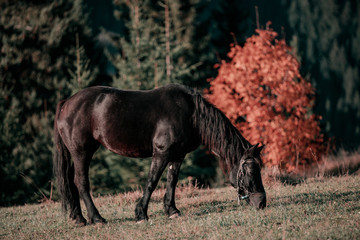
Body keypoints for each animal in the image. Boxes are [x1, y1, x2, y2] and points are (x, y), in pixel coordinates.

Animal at [54, 84, 268, 225]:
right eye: (250, 171)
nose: (262, 203)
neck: (190, 114)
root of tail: (66, 103)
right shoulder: (161, 153)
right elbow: (152, 182)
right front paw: (141, 214)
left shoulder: (177, 156)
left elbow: (171, 182)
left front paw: (172, 210)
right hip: (82, 152)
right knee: (81, 182)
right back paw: (96, 218)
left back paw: (79, 218)